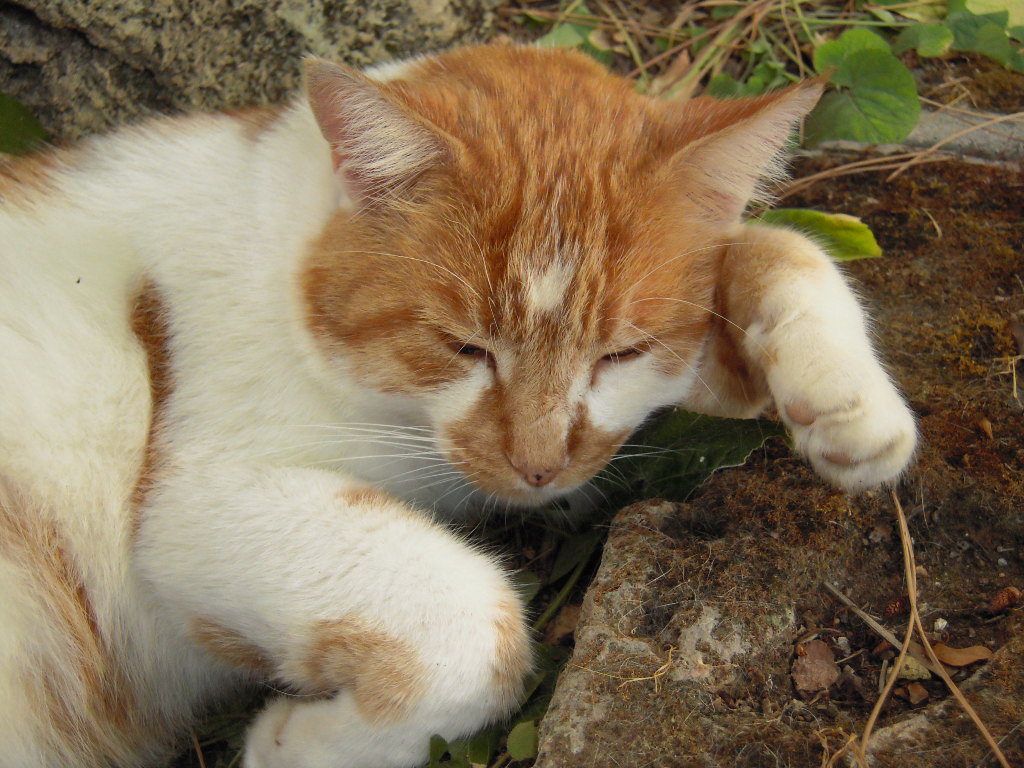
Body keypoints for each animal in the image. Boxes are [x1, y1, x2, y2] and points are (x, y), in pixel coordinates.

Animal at [0, 43, 917, 768]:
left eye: (620, 353)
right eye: (465, 347)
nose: (540, 467)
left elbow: (778, 243)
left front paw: (850, 403)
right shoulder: (196, 501)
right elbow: (478, 621)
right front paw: (300, 749)